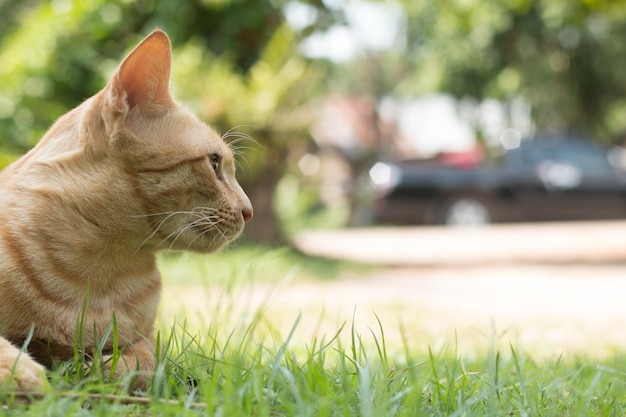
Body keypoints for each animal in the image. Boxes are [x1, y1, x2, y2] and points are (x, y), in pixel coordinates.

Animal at [1, 30, 254, 390]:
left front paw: (96, 370)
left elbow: (144, 363)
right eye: (215, 162)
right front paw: (23, 374)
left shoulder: (149, 341)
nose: (249, 211)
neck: (102, 272)